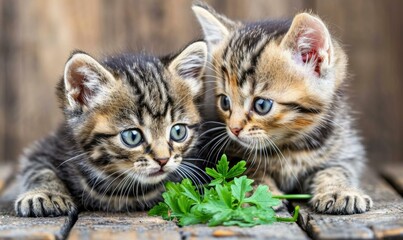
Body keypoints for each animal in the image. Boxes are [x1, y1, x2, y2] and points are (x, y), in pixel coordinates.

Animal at [14, 41, 208, 218]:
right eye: (132, 136)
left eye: (178, 132)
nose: (163, 160)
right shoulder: (48, 146)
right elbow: (38, 169)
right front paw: (45, 194)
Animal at [194, 2, 374, 214]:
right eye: (224, 102)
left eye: (262, 105)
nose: (234, 129)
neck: (290, 146)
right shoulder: (222, 152)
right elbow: (248, 171)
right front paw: (259, 194)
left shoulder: (346, 149)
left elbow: (335, 170)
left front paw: (340, 191)